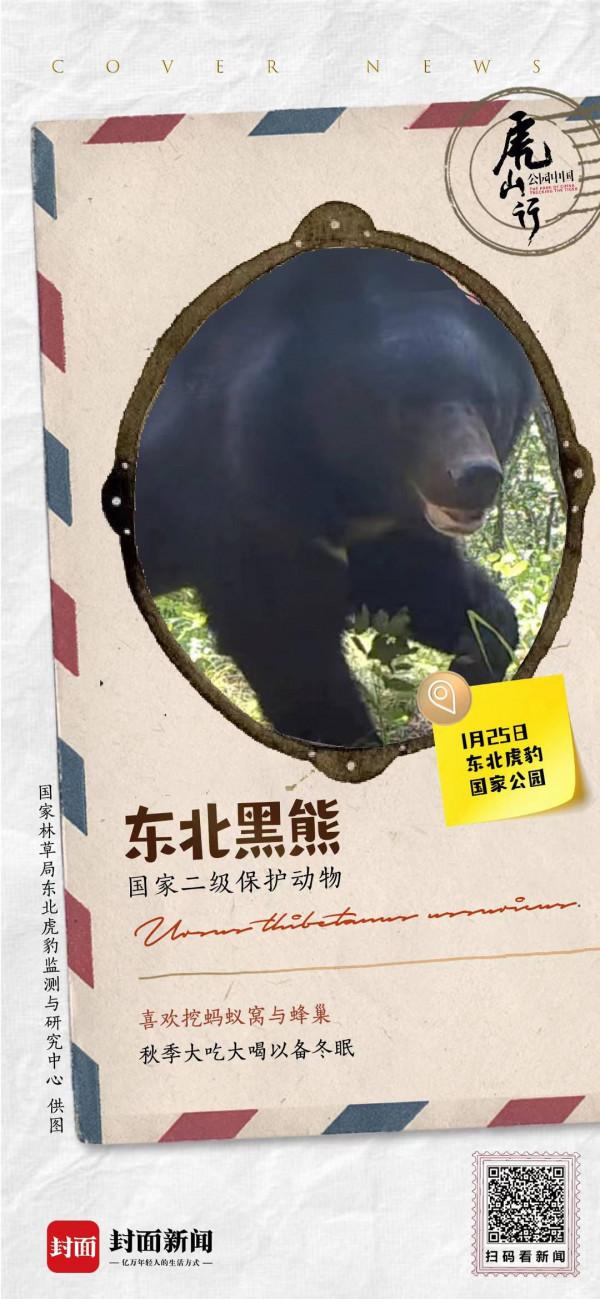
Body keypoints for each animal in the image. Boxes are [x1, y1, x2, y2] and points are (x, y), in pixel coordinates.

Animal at [134, 247, 540, 748]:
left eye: (490, 403)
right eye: (407, 407)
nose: (477, 476)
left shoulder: (380, 532)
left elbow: (415, 579)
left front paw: (475, 657)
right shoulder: (245, 495)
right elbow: (286, 639)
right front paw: (351, 740)